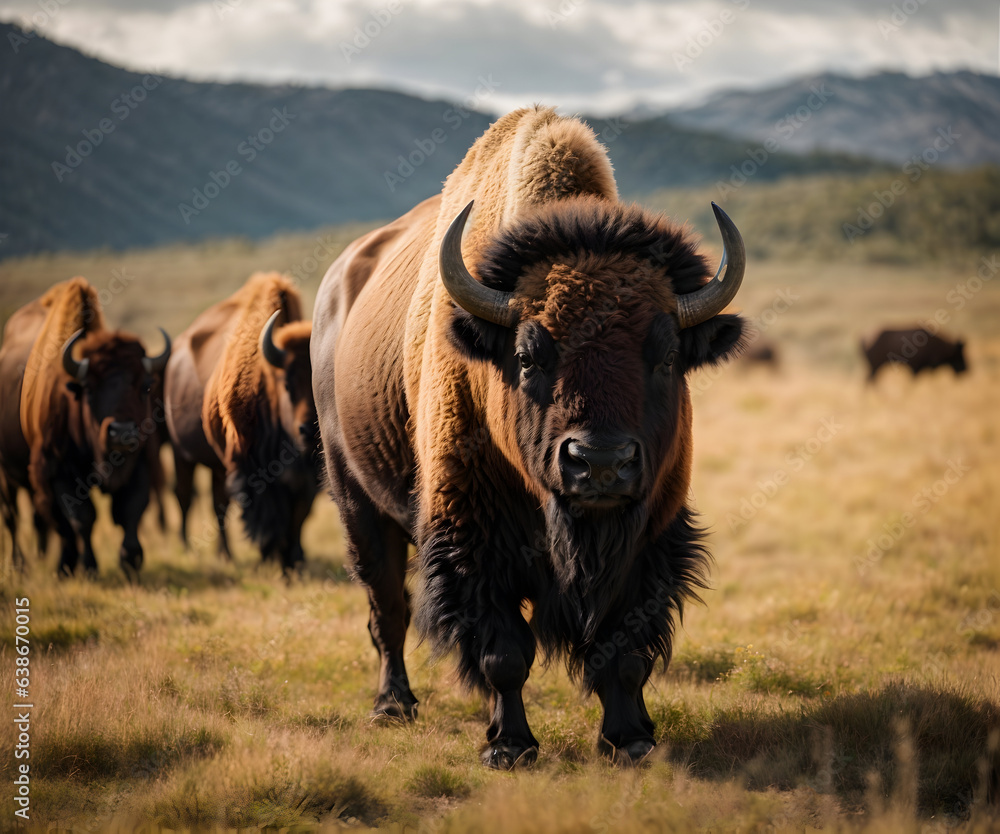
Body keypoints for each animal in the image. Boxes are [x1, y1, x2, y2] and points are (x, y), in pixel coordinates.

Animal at [0, 277, 169, 576]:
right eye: (89, 388)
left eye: (146, 386)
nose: (122, 432)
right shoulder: (58, 471)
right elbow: (82, 518)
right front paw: (88, 566)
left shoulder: (141, 463)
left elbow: (131, 509)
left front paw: (131, 560)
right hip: (6, 476)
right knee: (14, 518)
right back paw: (23, 565)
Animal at [164, 272, 318, 573]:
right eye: (286, 384)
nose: (308, 430)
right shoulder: (249, 467)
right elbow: (267, 515)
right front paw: (271, 557)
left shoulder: (307, 478)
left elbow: (299, 515)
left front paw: (294, 559)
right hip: (182, 454)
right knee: (189, 498)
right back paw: (199, 551)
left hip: (215, 464)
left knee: (215, 502)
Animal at [312, 107, 748, 768]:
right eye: (526, 354)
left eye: (668, 355)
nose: (600, 463)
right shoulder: (472, 540)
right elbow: (503, 653)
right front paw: (509, 747)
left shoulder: (650, 540)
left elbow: (623, 652)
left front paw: (631, 739)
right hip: (356, 501)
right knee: (387, 607)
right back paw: (393, 706)